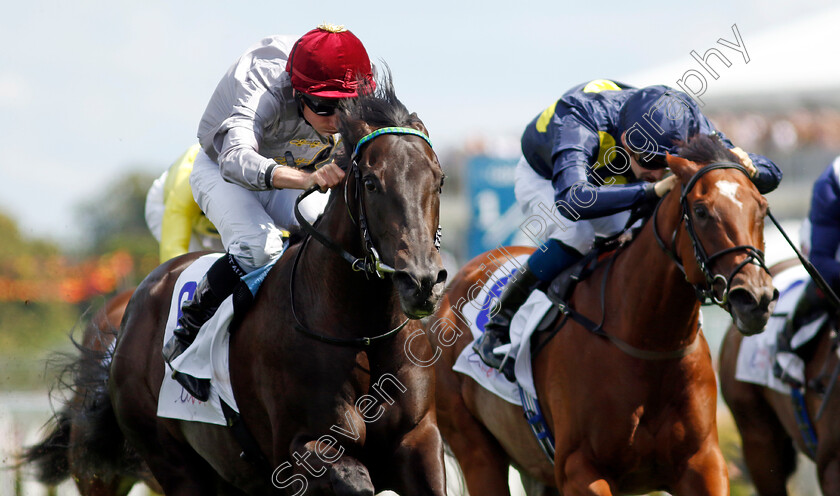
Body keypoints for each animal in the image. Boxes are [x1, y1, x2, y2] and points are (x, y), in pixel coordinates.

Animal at [430, 134, 776, 494]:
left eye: (762, 209)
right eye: (701, 210)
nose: (756, 298)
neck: (647, 343)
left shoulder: (703, 463)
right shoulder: (579, 468)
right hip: (477, 450)